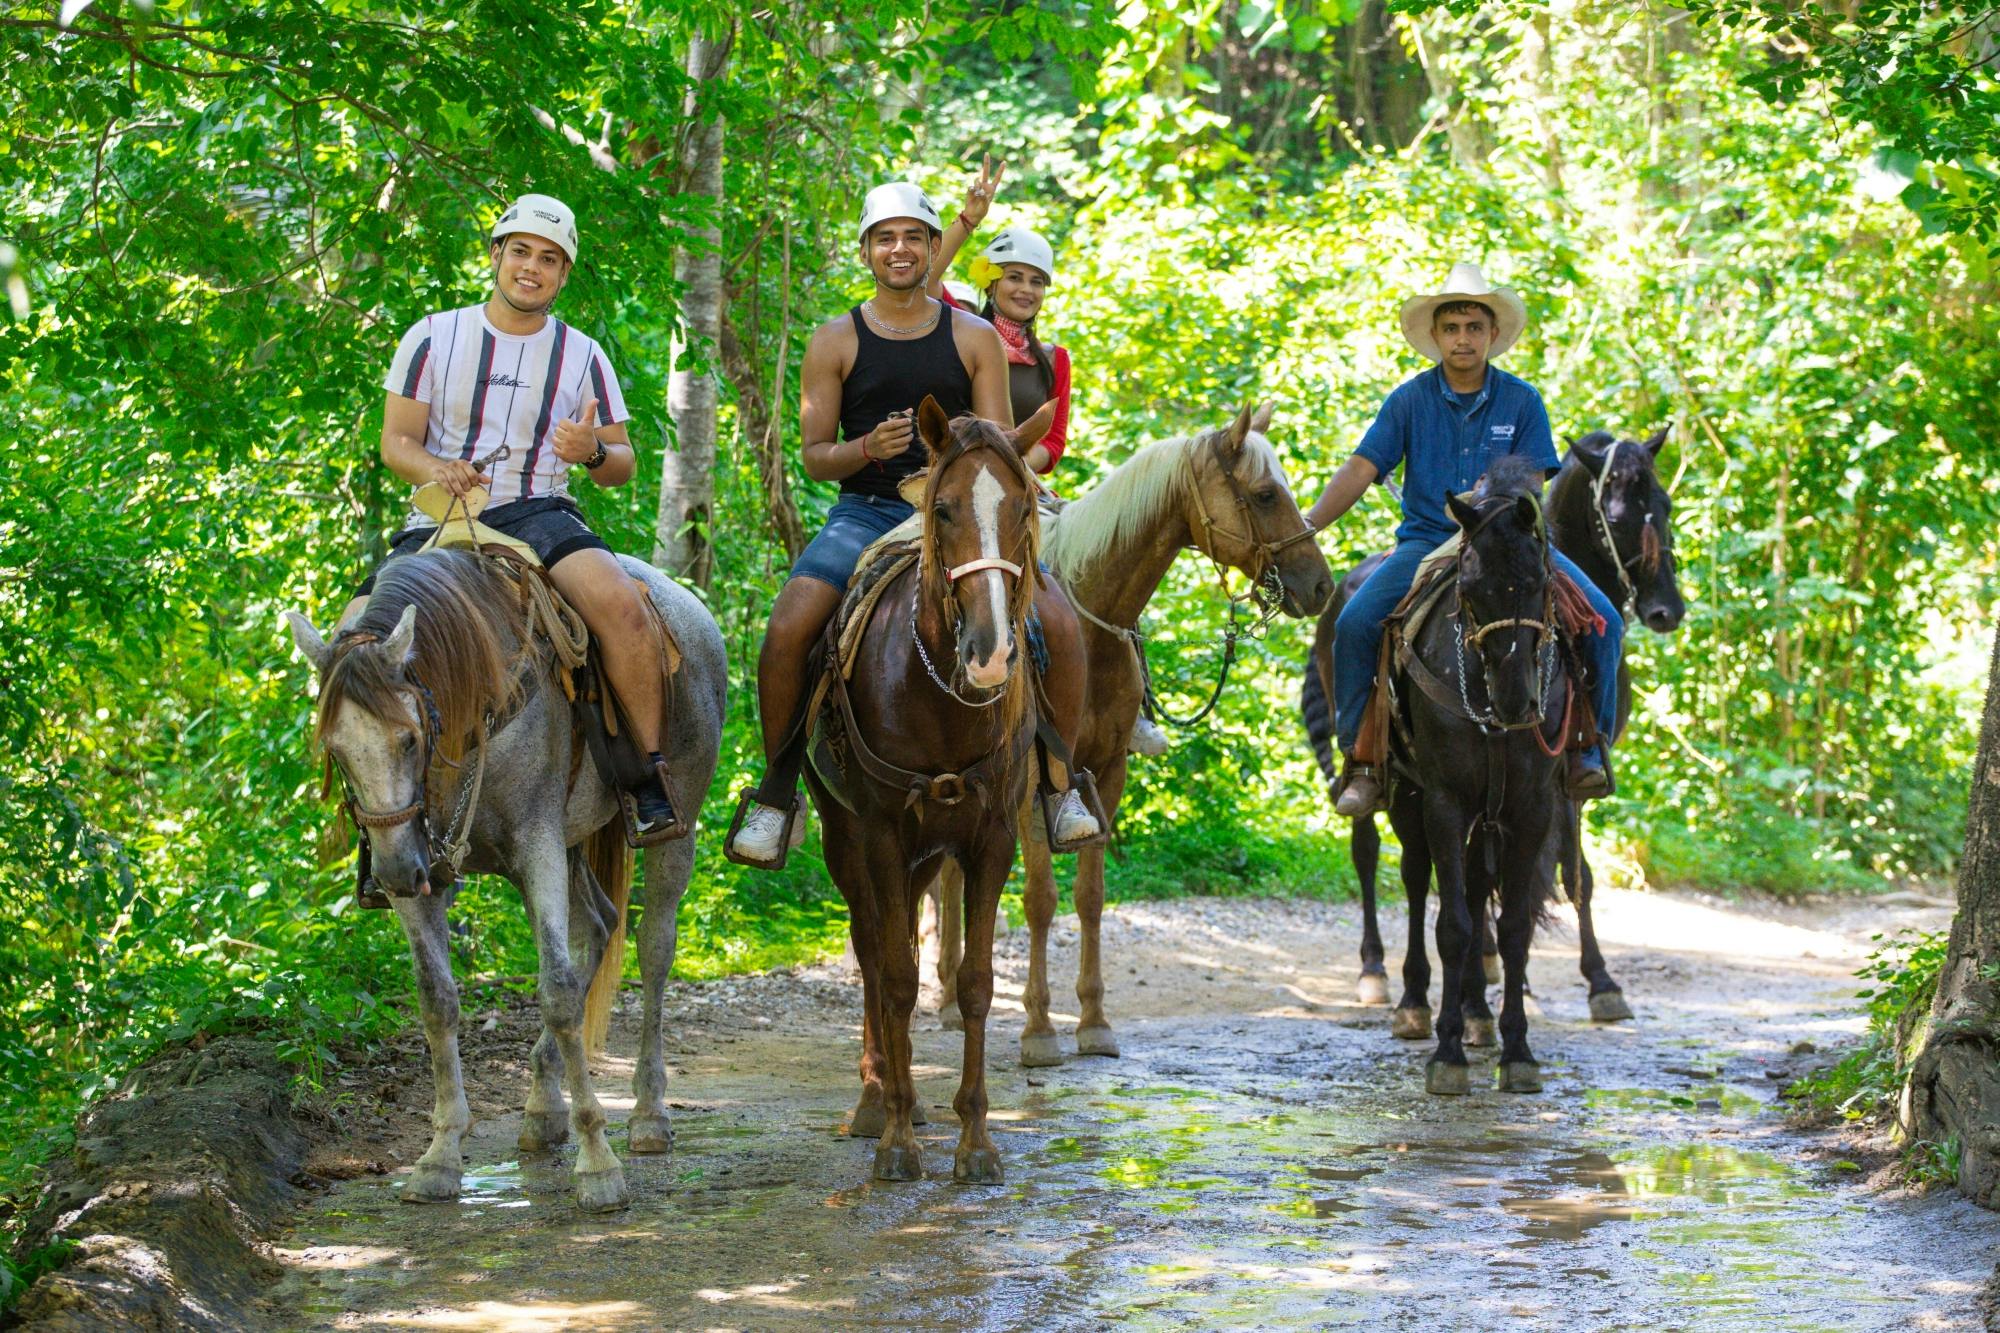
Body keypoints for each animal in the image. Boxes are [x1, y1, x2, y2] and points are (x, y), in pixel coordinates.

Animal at [282, 544, 720, 1208]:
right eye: (335, 747)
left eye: (408, 738)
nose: (390, 872)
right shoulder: (426, 869)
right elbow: (437, 1000)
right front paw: (439, 1156)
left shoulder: (536, 846)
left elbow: (559, 993)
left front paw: (599, 1164)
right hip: (567, 848)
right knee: (599, 926)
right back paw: (542, 1108)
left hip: (676, 827)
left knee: (652, 949)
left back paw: (647, 1114)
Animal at [804, 394, 1080, 1184]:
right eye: (945, 508)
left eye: (1022, 508)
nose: (989, 654)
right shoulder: (878, 834)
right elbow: (896, 976)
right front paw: (898, 1138)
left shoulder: (989, 839)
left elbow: (977, 983)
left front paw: (975, 1140)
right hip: (846, 840)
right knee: (872, 950)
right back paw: (876, 1100)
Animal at [928, 400, 1336, 1064]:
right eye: (1266, 494)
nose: (1320, 586)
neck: (1088, 619)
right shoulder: (1032, 779)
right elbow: (1040, 898)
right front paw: (1038, 1029)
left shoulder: (1106, 770)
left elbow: (1090, 898)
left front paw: (1094, 1022)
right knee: (947, 878)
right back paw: (939, 998)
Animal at [1296, 426, 1688, 1024]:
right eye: (1615, 516)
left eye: (1663, 505)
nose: (1667, 609)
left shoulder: (1560, 782)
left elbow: (1567, 875)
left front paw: (1590, 981)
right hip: (1382, 771)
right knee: (1373, 852)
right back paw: (1377, 972)